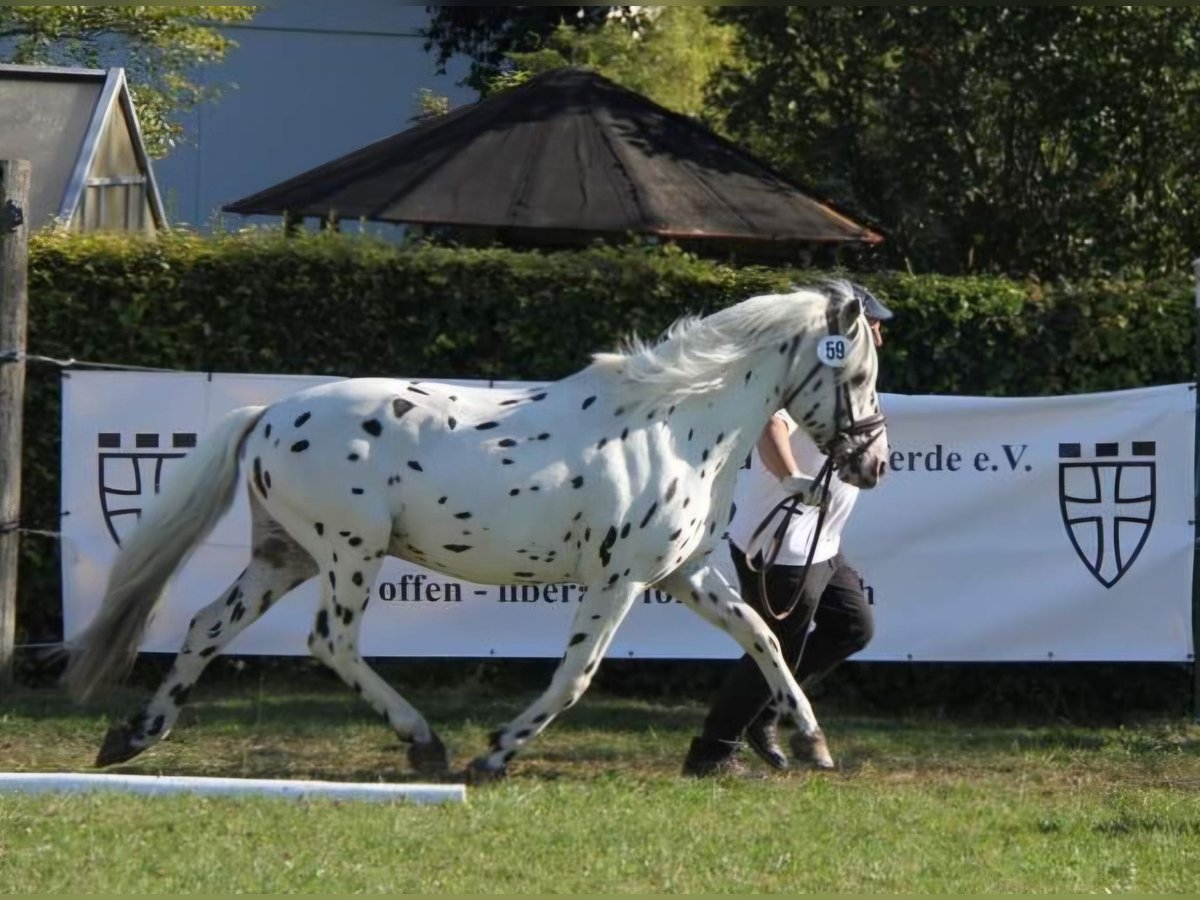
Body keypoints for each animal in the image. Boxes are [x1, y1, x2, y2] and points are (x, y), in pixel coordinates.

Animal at [68, 280, 892, 782]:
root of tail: (269, 413)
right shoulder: (619, 579)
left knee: (208, 626)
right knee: (329, 642)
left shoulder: (683, 573)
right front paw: (494, 755)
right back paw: (425, 745)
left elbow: (762, 636)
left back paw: (133, 736)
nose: (874, 462)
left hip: (286, 554)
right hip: (347, 551)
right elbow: (575, 675)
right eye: (857, 378)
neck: (678, 426)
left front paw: (812, 743)